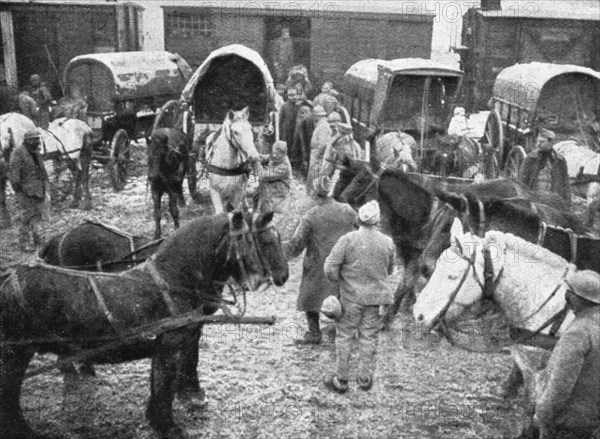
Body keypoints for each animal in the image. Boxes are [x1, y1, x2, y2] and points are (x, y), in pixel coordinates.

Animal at [0, 211, 290, 438]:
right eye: (263, 240)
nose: (283, 276)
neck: (172, 279)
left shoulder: (181, 336)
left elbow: (168, 377)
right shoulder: (171, 344)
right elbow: (165, 384)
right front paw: (168, 424)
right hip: (15, 355)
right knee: (9, 398)